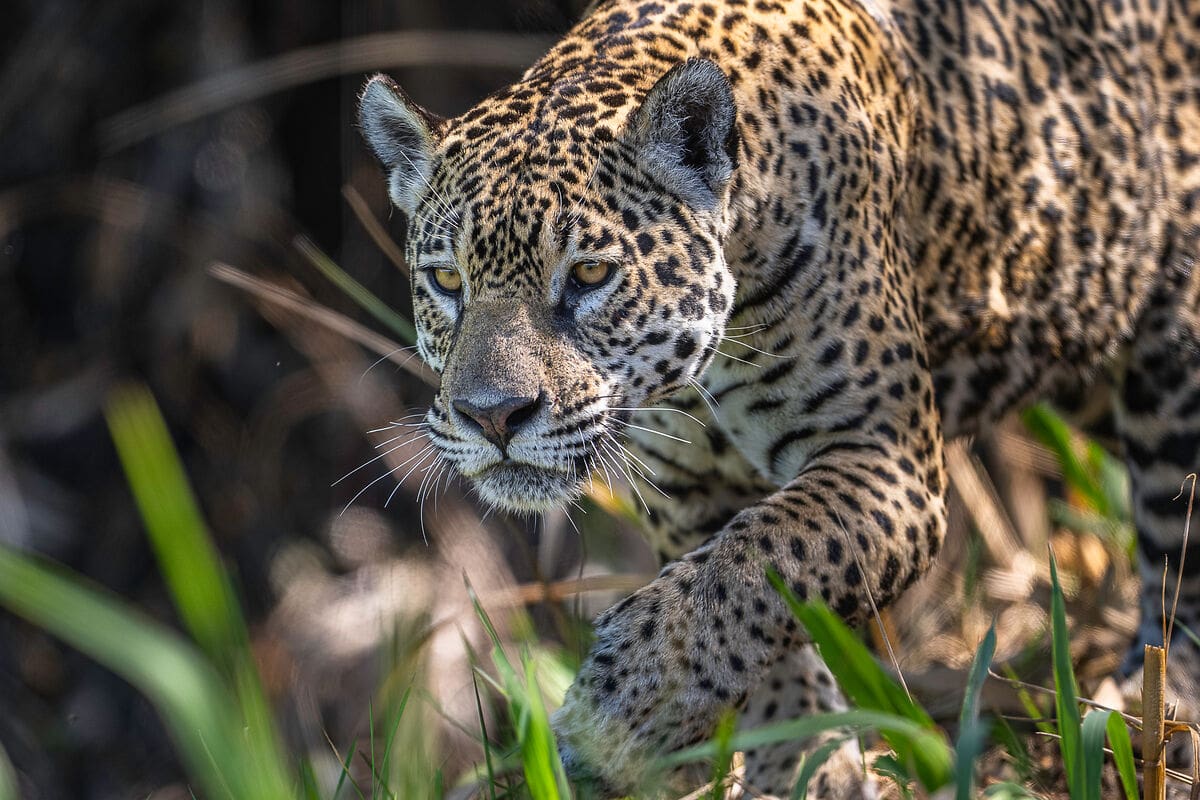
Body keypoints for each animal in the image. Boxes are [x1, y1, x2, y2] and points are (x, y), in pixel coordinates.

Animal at [356, 0, 1200, 795]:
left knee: (1178, 546)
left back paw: (1152, 713)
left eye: (591, 274)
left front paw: (621, 713)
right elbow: (744, 599)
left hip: (1174, 366)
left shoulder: (885, 456)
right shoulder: (684, 489)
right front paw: (802, 762)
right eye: (447, 280)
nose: (492, 415)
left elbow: (757, 561)